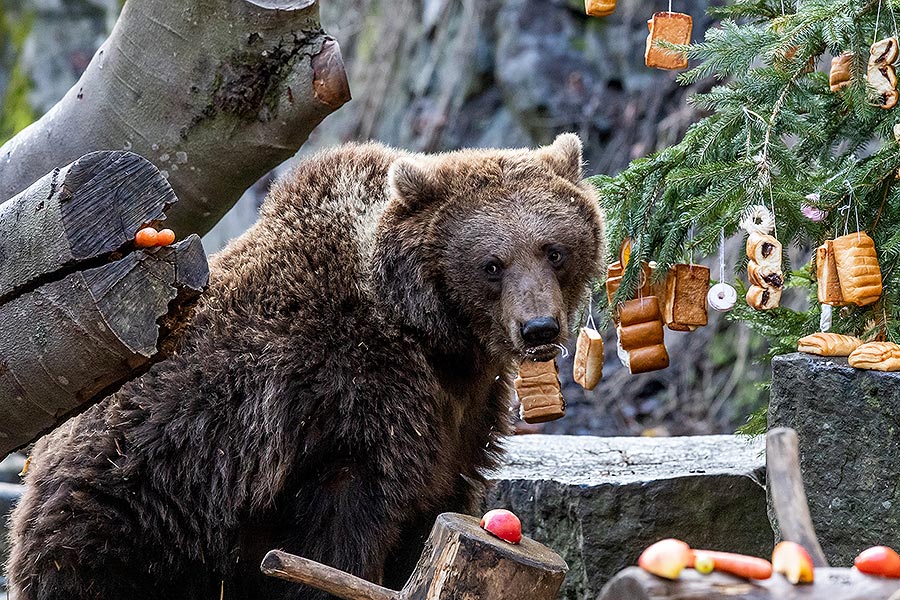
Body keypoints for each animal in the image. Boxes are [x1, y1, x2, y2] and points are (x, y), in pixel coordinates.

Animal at [5, 134, 604, 596]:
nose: (539, 328)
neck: (434, 336)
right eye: (492, 264)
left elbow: (436, 502)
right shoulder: (351, 403)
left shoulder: (460, 419)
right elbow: (341, 532)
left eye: (553, 250)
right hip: (132, 509)